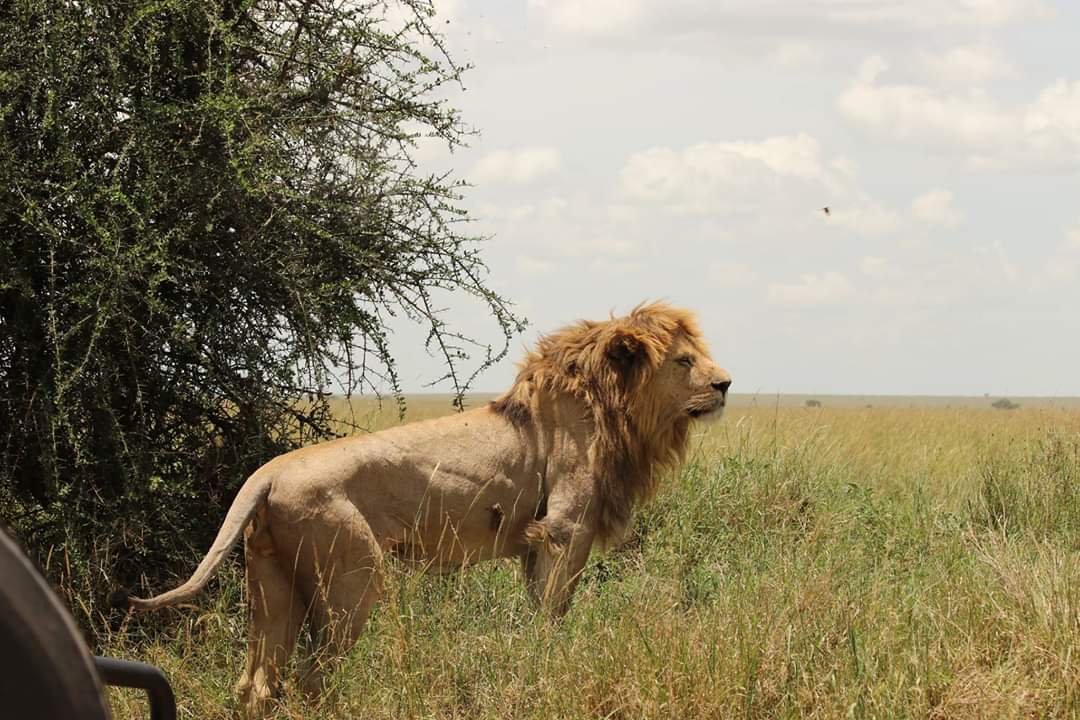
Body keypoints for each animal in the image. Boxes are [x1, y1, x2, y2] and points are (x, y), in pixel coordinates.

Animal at [128, 302, 734, 716]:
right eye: (685, 361)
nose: (726, 384)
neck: (614, 408)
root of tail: (268, 472)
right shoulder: (564, 531)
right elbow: (551, 617)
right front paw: (549, 665)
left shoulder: (538, 541)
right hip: (352, 578)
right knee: (312, 675)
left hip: (271, 581)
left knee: (258, 682)